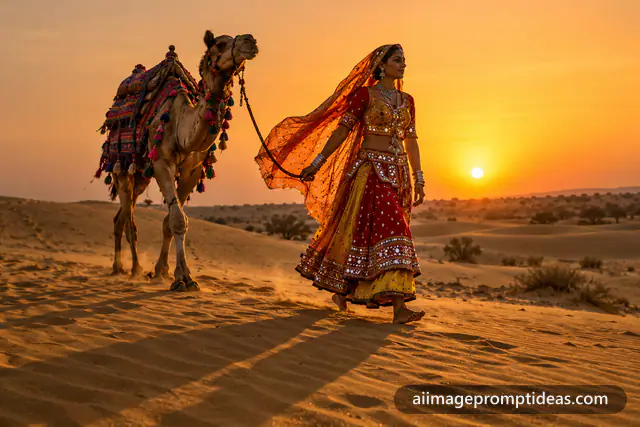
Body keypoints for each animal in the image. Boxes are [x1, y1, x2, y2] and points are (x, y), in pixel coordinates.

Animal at [98, 31, 258, 292]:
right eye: (219, 44)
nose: (250, 41)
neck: (181, 125)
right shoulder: (162, 162)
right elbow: (177, 220)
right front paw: (183, 278)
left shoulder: (192, 170)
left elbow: (170, 222)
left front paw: (163, 271)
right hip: (122, 168)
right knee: (130, 222)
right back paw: (134, 270)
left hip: (140, 177)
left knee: (120, 218)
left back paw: (119, 267)